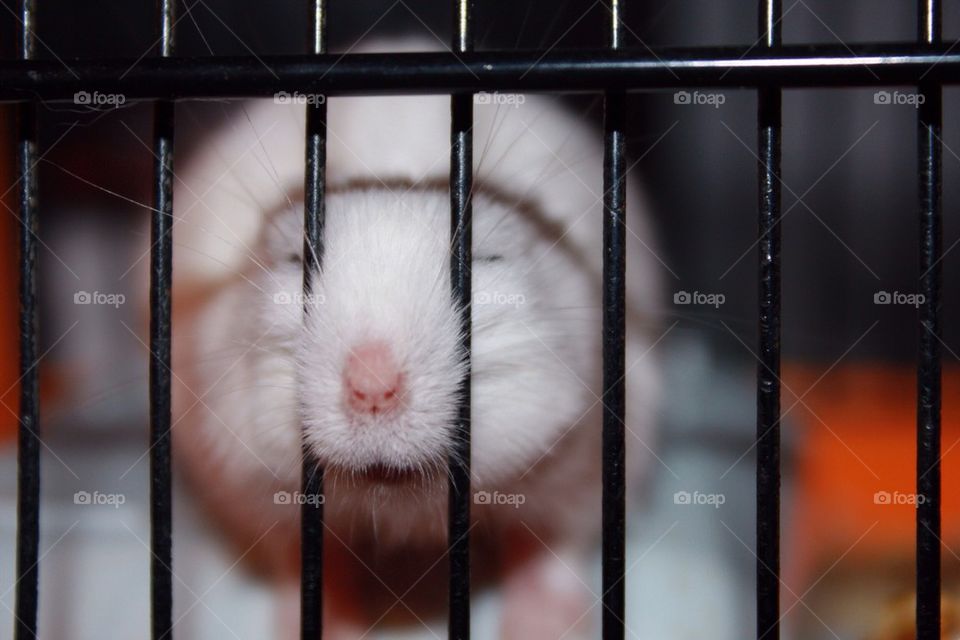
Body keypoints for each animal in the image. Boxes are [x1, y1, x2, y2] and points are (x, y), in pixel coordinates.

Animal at [170, 44, 661, 640]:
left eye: (483, 259)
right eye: (295, 263)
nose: (373, 388)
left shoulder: (596, 458)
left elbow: (553, 542)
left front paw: (544, 624)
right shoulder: (241, 484)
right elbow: (304, 555)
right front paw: (324, 621)